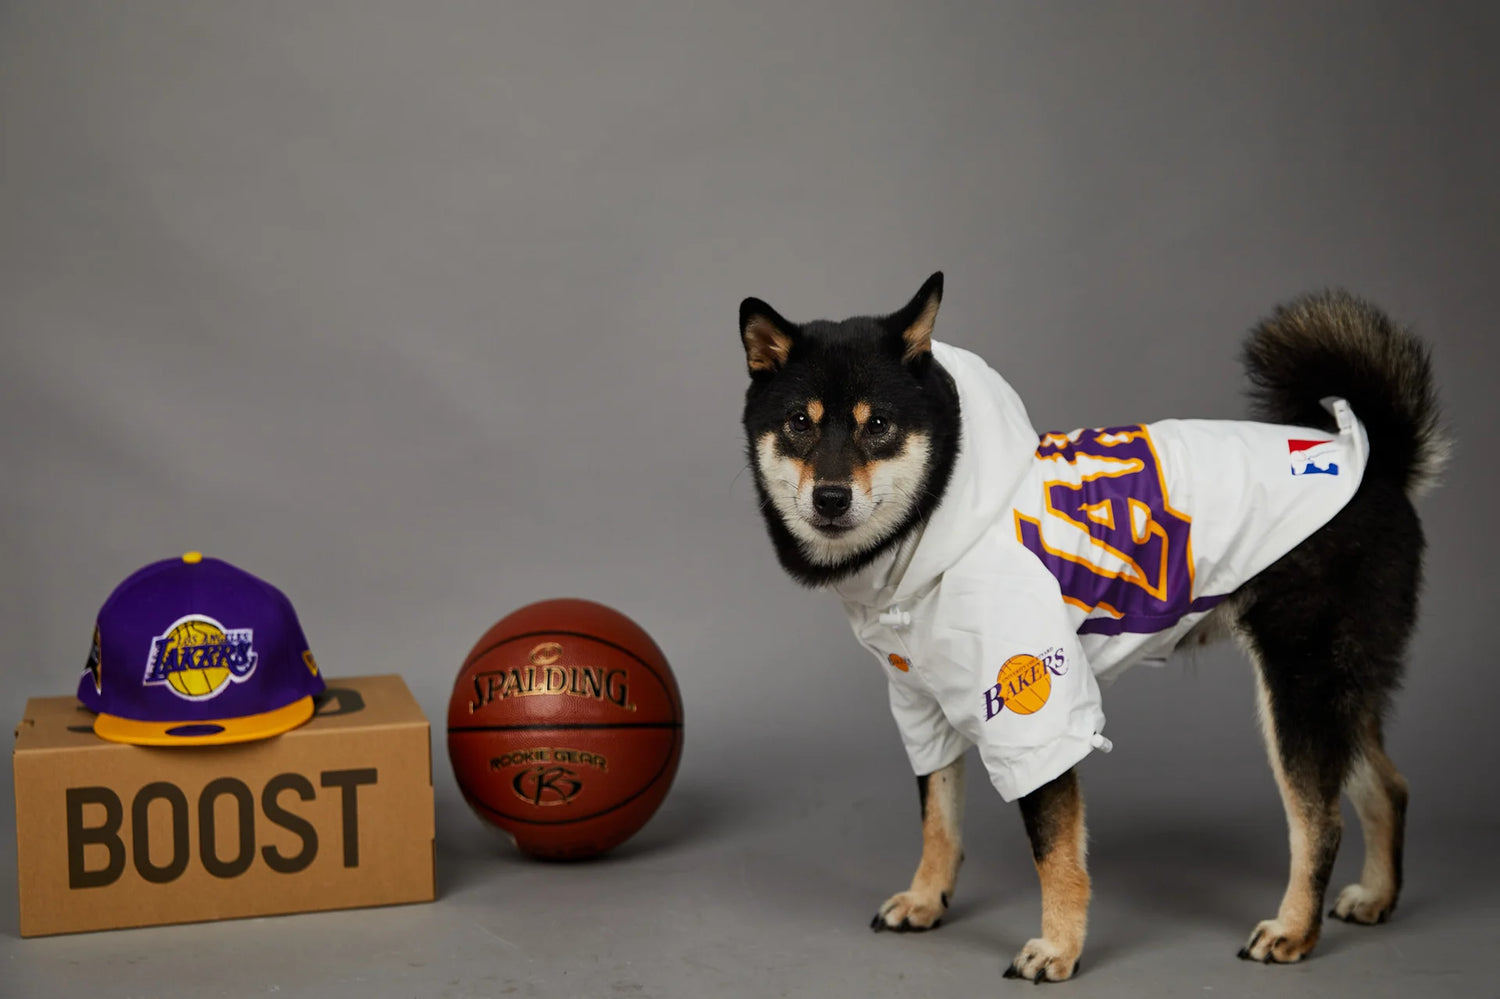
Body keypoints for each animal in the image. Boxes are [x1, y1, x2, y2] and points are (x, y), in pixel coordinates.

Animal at [735, 274, 1440, 978]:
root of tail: (1376, 464)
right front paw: (927, 897)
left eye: (878, 424)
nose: (830, 497)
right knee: (1389, 786)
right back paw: (1376, 897)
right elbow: (939, 816)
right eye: (799, 422)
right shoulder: (920, 704)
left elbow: (1055, 849)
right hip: (1337, 689)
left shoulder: (1034, 710)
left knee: (1321, 820)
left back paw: (1294, 930)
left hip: (1299, 687)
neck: (937, 515)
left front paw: (1059, 948)